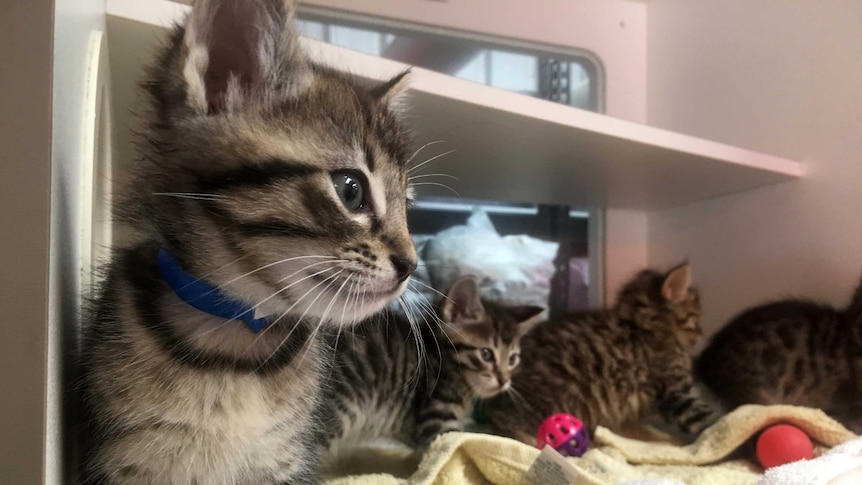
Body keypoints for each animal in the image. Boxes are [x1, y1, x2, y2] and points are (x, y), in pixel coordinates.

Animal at [78, 1, 418, 482]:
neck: (238, 341)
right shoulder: (125, 459)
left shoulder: (285, 460)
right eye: (350, 189)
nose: (411, 264)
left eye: (407, 204)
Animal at [320, 274, 544, 464]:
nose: (504, 381)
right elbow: (446, 452)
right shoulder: (438, 417)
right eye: (486, 354)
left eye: (513, 359)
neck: (439, 355)